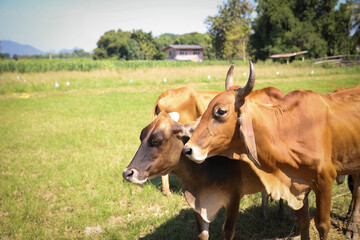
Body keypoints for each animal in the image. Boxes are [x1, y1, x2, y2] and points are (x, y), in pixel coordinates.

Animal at [122, 112, 310, 240]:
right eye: (141, 138)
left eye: (157, 141)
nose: (127, 173)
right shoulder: (198, 206)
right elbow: (202, 234)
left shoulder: (234, 198)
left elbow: (227, 231)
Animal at [184, 61, 360, 239]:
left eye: (221, 111)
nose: (188, 149)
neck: (287, 130)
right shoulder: (298, 186)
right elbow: (303, 221)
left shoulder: (325, 180)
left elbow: (323, 225)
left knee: (357, 192)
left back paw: (352, 226)